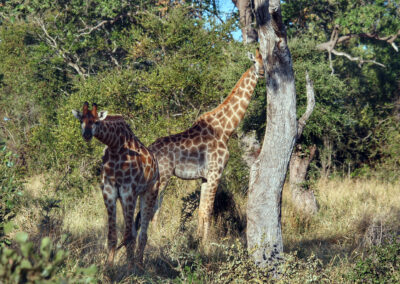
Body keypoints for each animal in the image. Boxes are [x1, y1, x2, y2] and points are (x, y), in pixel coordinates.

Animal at [72, 102, 159, 266]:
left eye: (96, 122)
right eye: (81, 121)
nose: (86, 135)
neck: (115, 146)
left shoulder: (128, 191)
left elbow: (128, 236)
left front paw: (129, 268)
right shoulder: (109, 192)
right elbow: (113, 236)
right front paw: (109, 267)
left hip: (150, 192)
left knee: (142, 234)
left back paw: (139, 264)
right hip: (128, 199)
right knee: (133, 232)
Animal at [148, 49, 264, 242]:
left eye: (266, 61)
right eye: (254, 61)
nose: (262, 72)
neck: (225, 129)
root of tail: (148, 151)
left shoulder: (205, 176)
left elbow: (202, 210)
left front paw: (197, 240)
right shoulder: (216, 172)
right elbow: (208, 210)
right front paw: (206, 244)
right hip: (163, 176)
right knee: (153, 206)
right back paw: (152, 239)